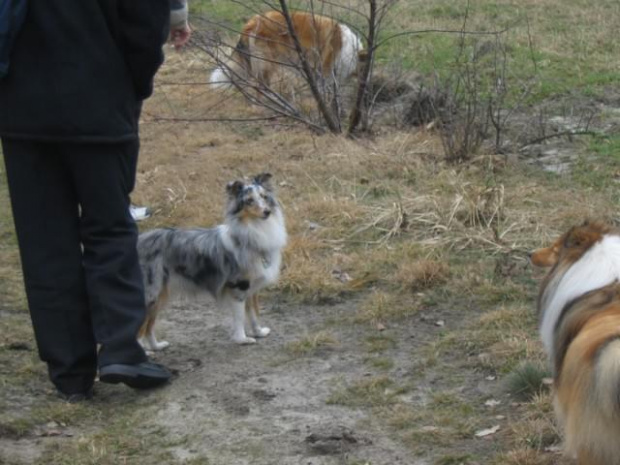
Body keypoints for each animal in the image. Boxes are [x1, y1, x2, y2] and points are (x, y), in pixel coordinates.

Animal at [137, 174, 286, 348]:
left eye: (264, 197)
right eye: (249, 200)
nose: (267, 212)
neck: (254, 229)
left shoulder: (251, 288)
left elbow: (253, 313)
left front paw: (259, 332)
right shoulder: (238, 285)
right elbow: (240, 317)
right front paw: (242, 339)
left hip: (160, 295)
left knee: (149, 327)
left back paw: (157, 346)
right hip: (151, 293)